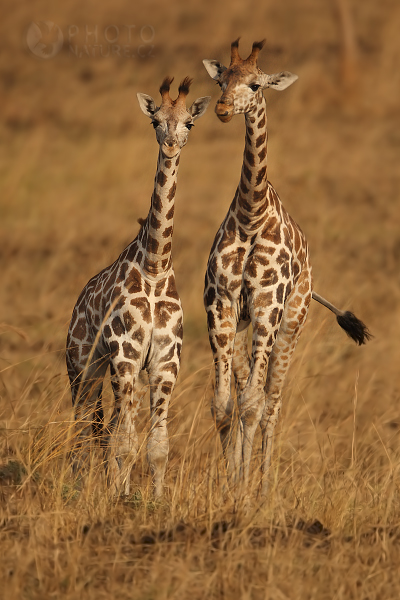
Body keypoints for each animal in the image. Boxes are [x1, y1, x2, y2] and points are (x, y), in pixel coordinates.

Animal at [66, 77, 211, 496]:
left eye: (189, 123)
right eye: (155, 121)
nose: (171, 145)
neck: (154, 265)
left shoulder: (165, 364)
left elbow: (157, 445)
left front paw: (153, 501)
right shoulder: (126, 356)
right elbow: (126, 442)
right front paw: (119, 498)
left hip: (104, 370)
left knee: (105, 427)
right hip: (83, 367)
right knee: (83, 429)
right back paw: (79, 489)